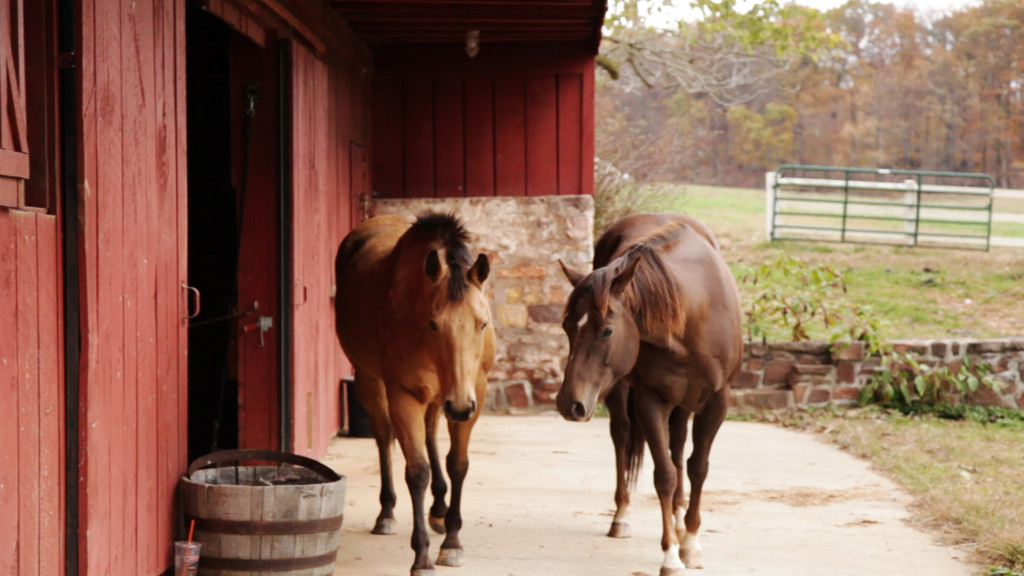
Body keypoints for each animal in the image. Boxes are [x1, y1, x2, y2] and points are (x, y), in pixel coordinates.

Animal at [335, 211, 495, 573]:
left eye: (482, 323)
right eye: (434, 323)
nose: (460, 407)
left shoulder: (474, 393)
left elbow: (458, 464)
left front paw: (452, 542)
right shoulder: (404, 394)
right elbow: (417, 470)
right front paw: (421, 556)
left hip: (441, 398)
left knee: (432, 433)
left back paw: (439, 510)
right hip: (372, 381)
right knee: (384, 436)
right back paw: (387, 513)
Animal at [557, 212, 741, 573]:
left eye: (607, 331)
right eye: (567, 327)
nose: (567, 403)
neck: (692, 315)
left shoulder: (717, 402)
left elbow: (697, 467)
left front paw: (690, 542)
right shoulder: (650, 400)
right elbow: (664, 474)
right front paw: (670, 554)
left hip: (685, 402)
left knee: (679, 443)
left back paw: (681, 520)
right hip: (619, 389)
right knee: (622, 434)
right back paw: (621, 516)